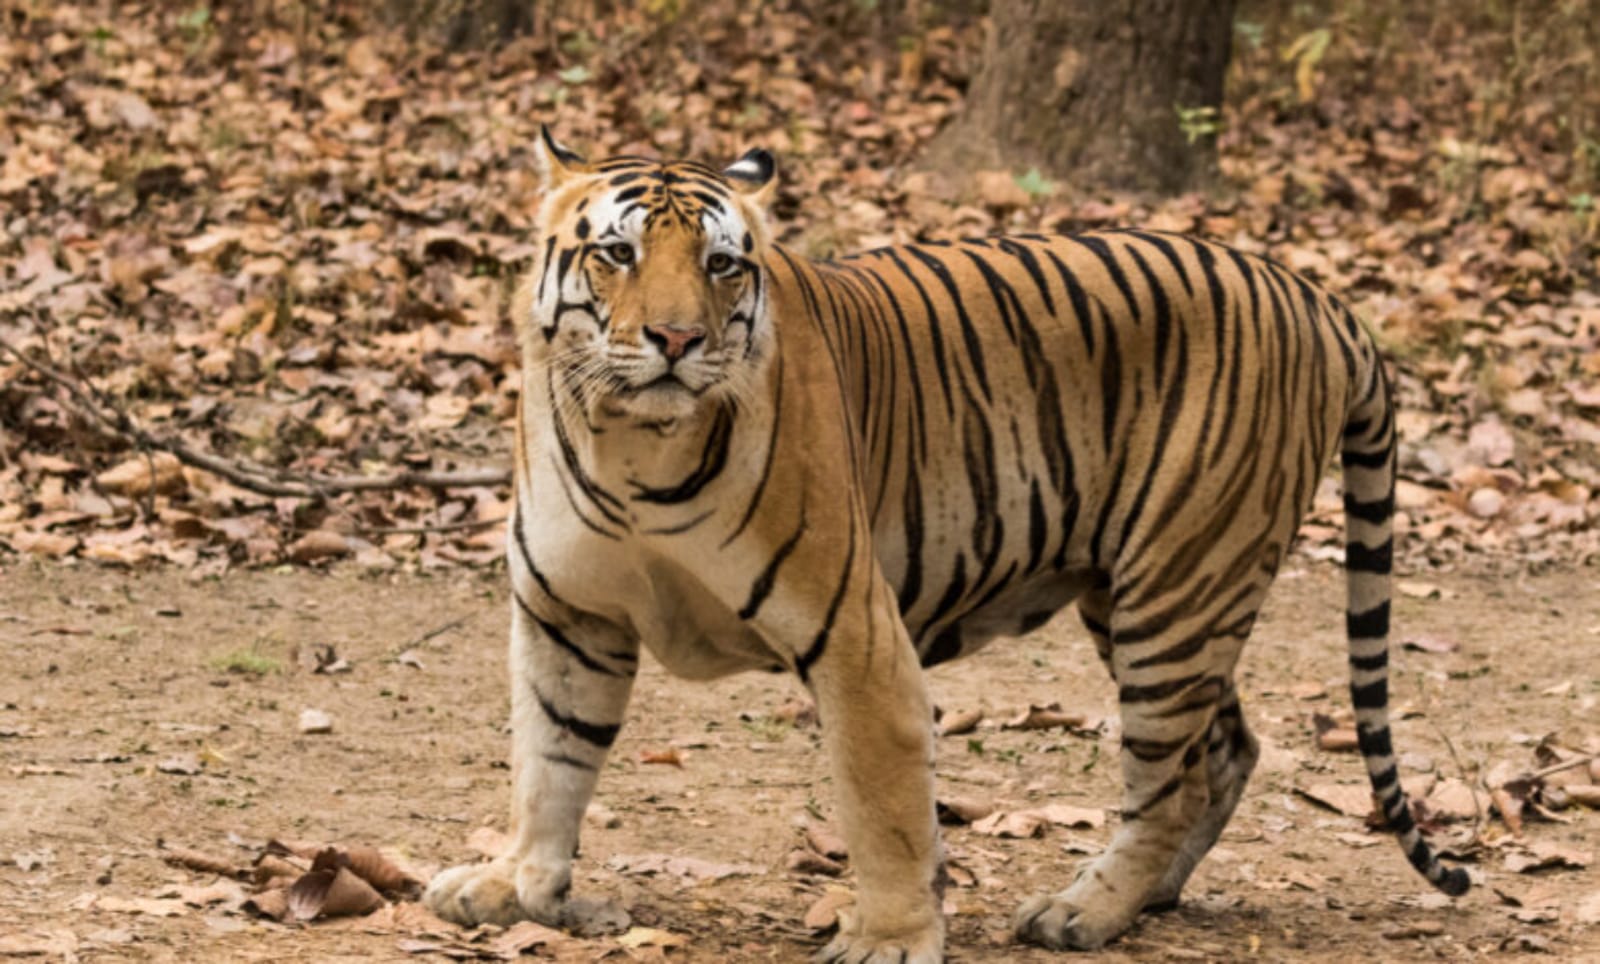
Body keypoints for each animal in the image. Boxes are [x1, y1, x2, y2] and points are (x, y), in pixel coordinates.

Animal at [419, 124, 1465, 954]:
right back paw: (1148, 898)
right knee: (1227, 750)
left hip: (1180, 586)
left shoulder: (856, 634)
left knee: (1167, 777)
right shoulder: (568, 616)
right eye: (619, 254)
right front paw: (517, 885)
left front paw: (889, 939)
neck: (628, 443)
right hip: (1139, 594)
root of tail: (1316, 295)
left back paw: (1085, 912)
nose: (676, 341)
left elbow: (883, 809)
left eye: (721, 264)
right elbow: (549, 762)